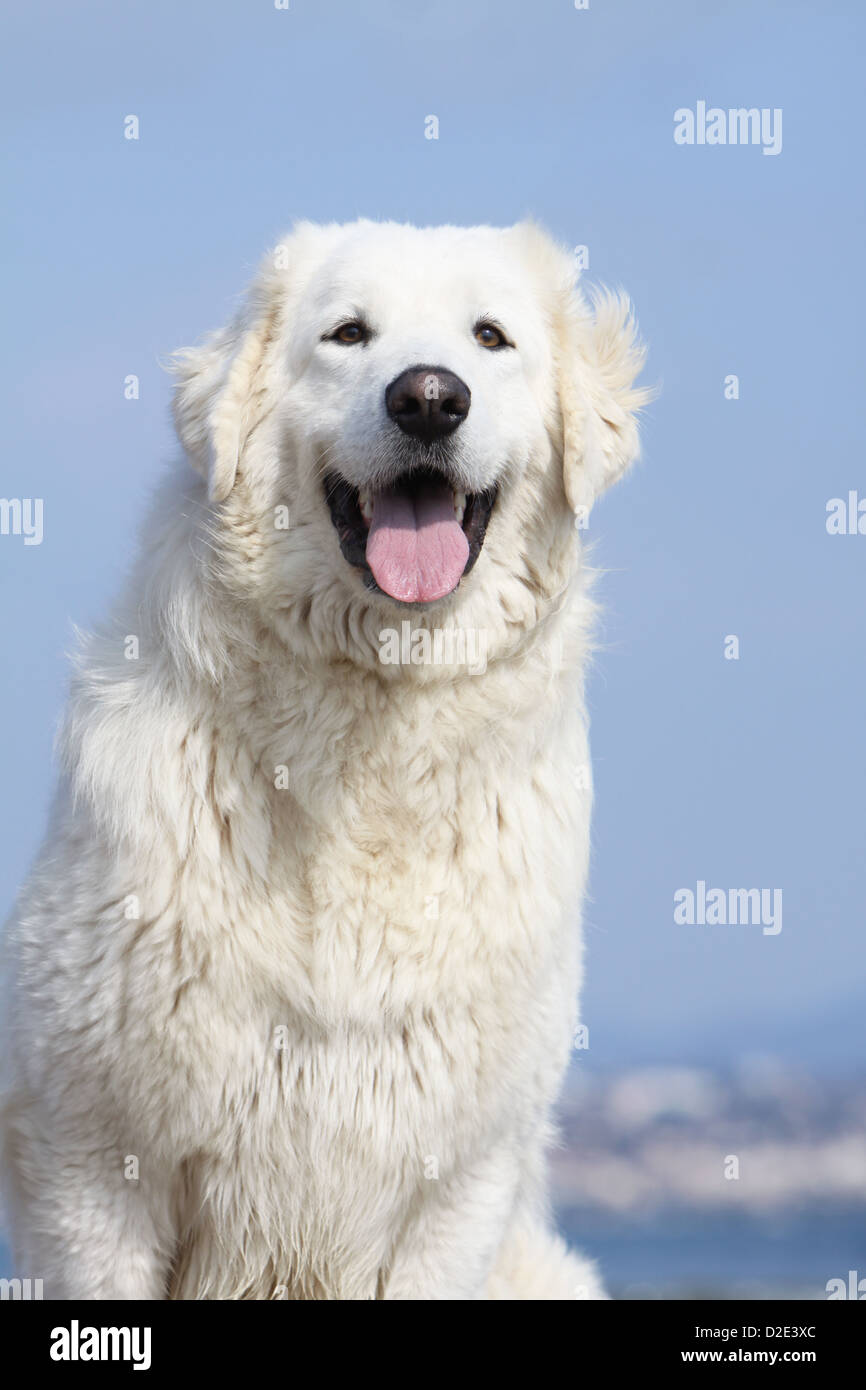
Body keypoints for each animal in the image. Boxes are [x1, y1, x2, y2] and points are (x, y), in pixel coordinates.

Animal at [0, 219, 647, 1301]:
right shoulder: (93, 1165)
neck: (368, 730)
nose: (427, 398)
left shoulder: (456, 1188)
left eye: (490, 336)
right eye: (347, 334)